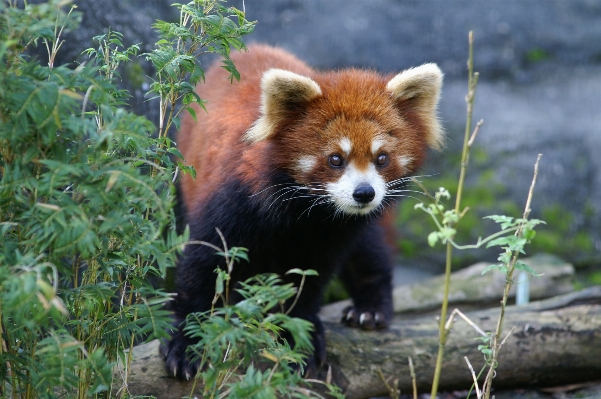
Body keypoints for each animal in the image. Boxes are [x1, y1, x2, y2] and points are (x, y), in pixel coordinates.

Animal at [162, 45, 442, 380]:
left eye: (382, 158)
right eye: (335, 159)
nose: (364, 193)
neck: (306, 212)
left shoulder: (330, 235)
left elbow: (309, 282)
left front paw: (298, 335)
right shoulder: (231, 201)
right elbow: (202, 266)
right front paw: (186, 341)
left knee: (371, 250)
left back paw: (371, 308)